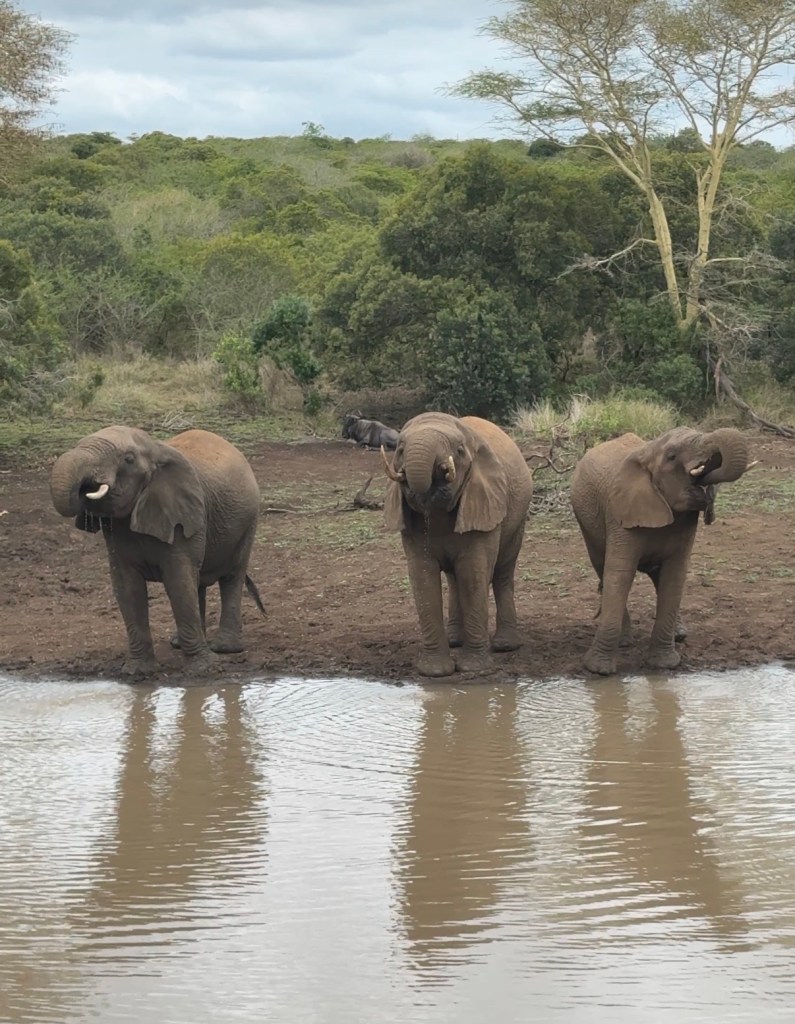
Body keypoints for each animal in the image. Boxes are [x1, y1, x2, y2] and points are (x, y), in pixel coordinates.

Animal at [50, 426, 264, 678]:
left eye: (128, 459)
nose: (86, 488)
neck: (154, 448)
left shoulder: (181, 514)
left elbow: (178, 581)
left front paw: (203, 670)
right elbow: (127, 587)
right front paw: (137, 672)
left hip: (249, 520)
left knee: (231, 576)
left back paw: (225, 648)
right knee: (198, 580)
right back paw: (178, 644)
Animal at [383, 412, 534, 677]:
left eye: (460, 450)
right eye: (399, 449)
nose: (442, 469)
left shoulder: (484, 503)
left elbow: (473, 575)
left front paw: (474, 669)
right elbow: (423, 578)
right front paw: (434, 672)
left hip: (518, 517)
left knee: (502, 573)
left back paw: (505, 645)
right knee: (454, 580)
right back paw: (455, 640)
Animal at [570, 426, 751, 675]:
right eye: (672, 456)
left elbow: (674, 576)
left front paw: (664, 664)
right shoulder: (619, 514)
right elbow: (620, 574)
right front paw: (598, 670)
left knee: (658, 576)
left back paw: (680, 635)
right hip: (588, 523)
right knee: (602, 566)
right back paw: (625, 642)